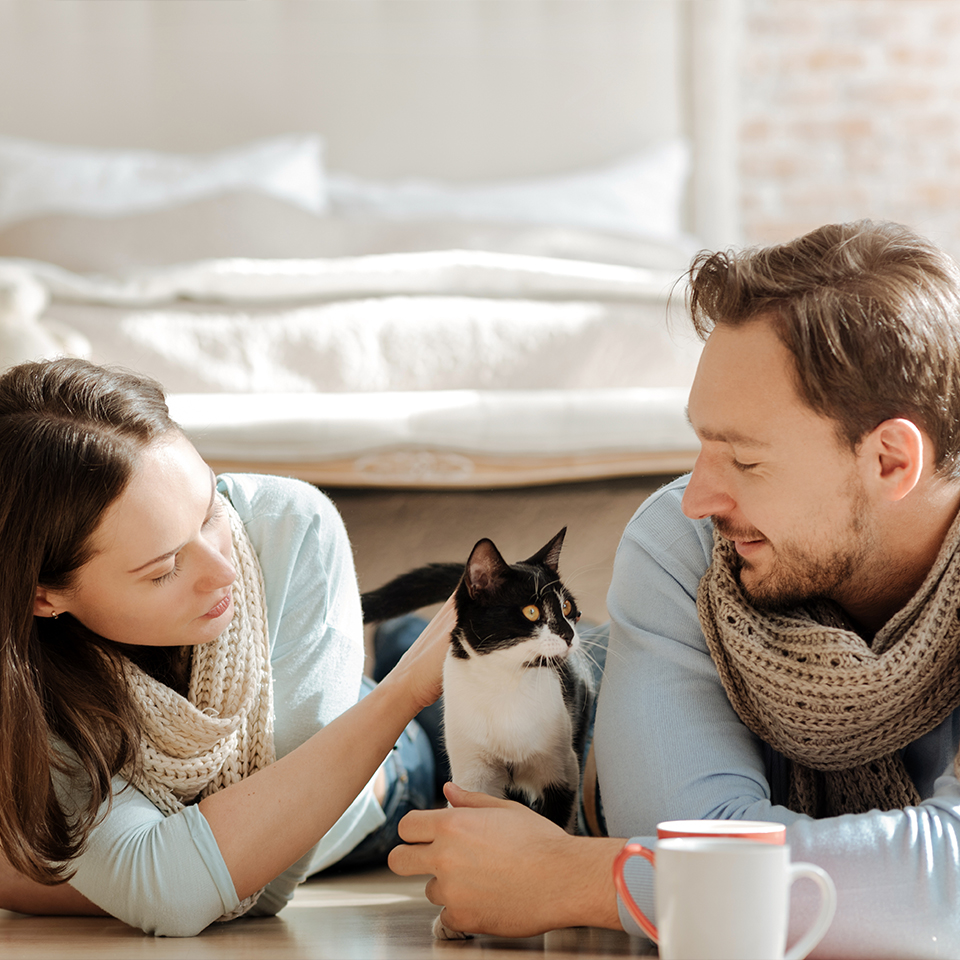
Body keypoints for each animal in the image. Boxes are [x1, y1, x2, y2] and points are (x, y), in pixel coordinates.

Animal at [360, 524, 592, 936]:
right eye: (531, 611)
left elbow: (551, 827)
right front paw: (454, 918)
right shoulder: (473, 773)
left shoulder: (560, 770)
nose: (569, 634)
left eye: (567, 609)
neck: (506, 684)